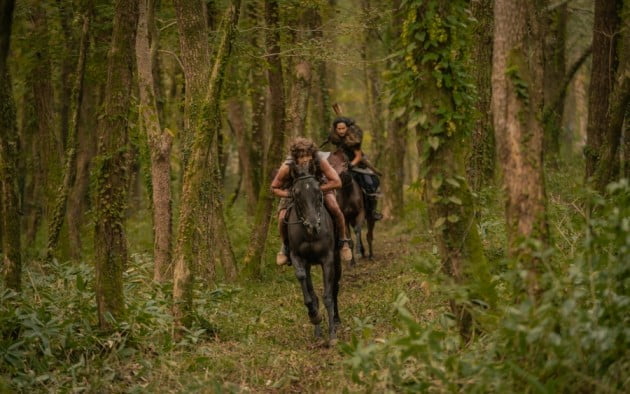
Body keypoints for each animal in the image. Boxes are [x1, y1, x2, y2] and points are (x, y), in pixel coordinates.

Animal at [288, 166, 344, 344]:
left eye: (318, 190)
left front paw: (332, 335)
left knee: (335, 288)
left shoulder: (327, 260)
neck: (310, 235)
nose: (313, 225)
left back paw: (336, 320)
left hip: (337, 260)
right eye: (296, 193)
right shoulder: (298, 257)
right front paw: (314, 317)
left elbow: (328, 296)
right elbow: (306, 287)